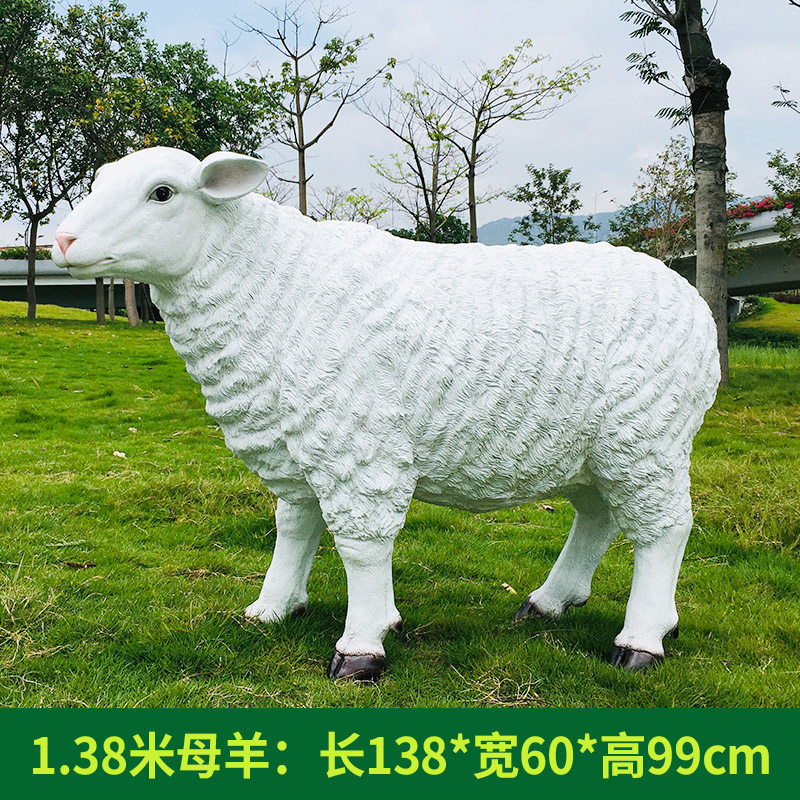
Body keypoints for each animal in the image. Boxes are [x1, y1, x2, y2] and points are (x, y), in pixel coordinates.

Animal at [52, 147, 720, 681]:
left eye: (162, 192)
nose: (61, 242)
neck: (274, 290)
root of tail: (689, 298)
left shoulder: (356, 441)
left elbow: (362, 545)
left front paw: (361, 647)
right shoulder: (298, 444)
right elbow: (295, 528)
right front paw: (271, 609)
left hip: (647, 435)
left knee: (664, 529)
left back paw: (641, 641)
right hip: (591, 446)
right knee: (599, 518)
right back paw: (552, 603)